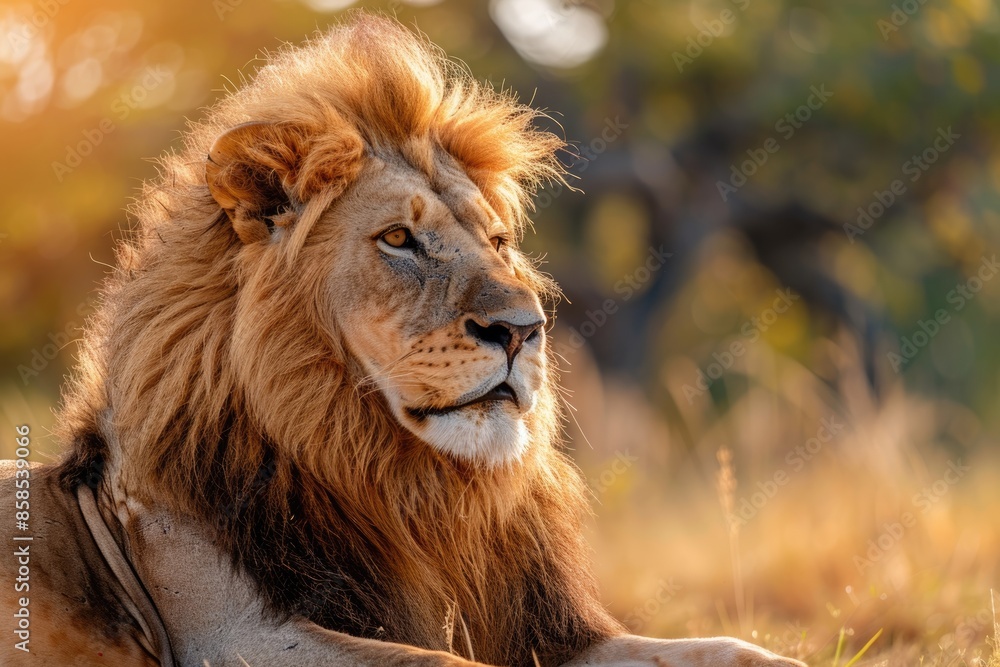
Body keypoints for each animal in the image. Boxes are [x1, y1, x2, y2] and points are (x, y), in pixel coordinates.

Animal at [0, 14, 806, 667]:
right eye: (398, 239)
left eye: (498, 242)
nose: (524, 329)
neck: (400, 486)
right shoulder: (229, 634)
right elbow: (442, 661)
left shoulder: (543, 631)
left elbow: (727, 647)